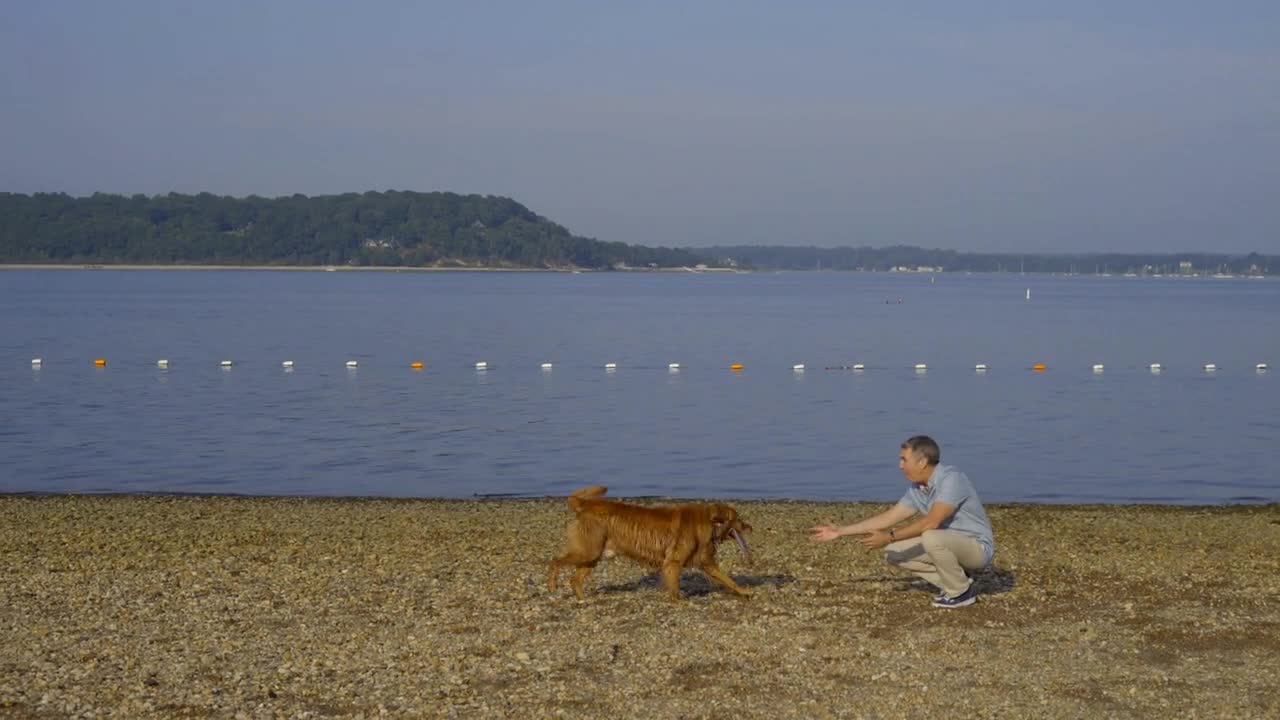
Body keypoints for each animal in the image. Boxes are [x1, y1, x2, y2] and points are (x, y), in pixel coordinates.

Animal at [547, 484, 747, 597]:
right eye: (738, 519)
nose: (749, 527)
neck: (707, 521)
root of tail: (584, 504)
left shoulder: (706, 562)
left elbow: (728, 579)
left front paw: (744, 591)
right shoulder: (673, 562)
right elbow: (673, 586)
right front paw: (678, 602)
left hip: (593, 556)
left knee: (575, 580)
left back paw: (583, 599)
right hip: (588, 551)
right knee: (555, 561)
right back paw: (552, 585)